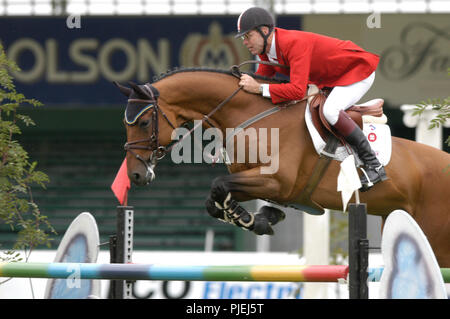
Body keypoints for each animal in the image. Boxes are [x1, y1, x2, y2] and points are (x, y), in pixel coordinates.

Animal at [115, 69, 450, 268]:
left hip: (436, 236)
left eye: (143, 122)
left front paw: (249, 218)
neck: (249, 114)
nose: (135, 175)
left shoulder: (277, 181)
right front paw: (258, 218)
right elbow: (215, 198)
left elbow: (218, 185)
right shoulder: (256, 180)